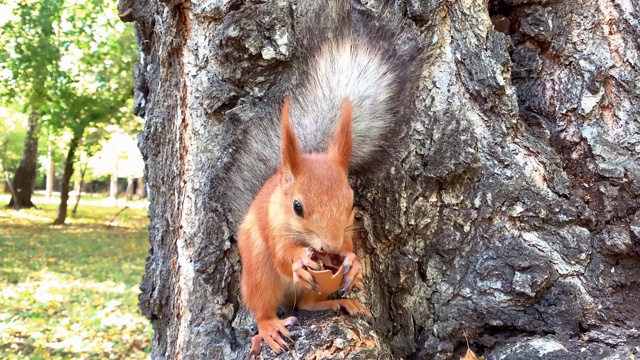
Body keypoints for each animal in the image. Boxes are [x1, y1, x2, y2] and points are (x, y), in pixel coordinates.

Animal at [232, 2, 412, 358]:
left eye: (352, 202)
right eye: (297, 207)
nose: (328, 246)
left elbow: (349, 247)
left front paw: (352, 263)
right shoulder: (274, 227)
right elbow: (283, 254)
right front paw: (300, 261)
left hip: (312, 291)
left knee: (306, 305)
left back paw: (341, 302)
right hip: (258, 273)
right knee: (263, 307)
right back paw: (269, 329)